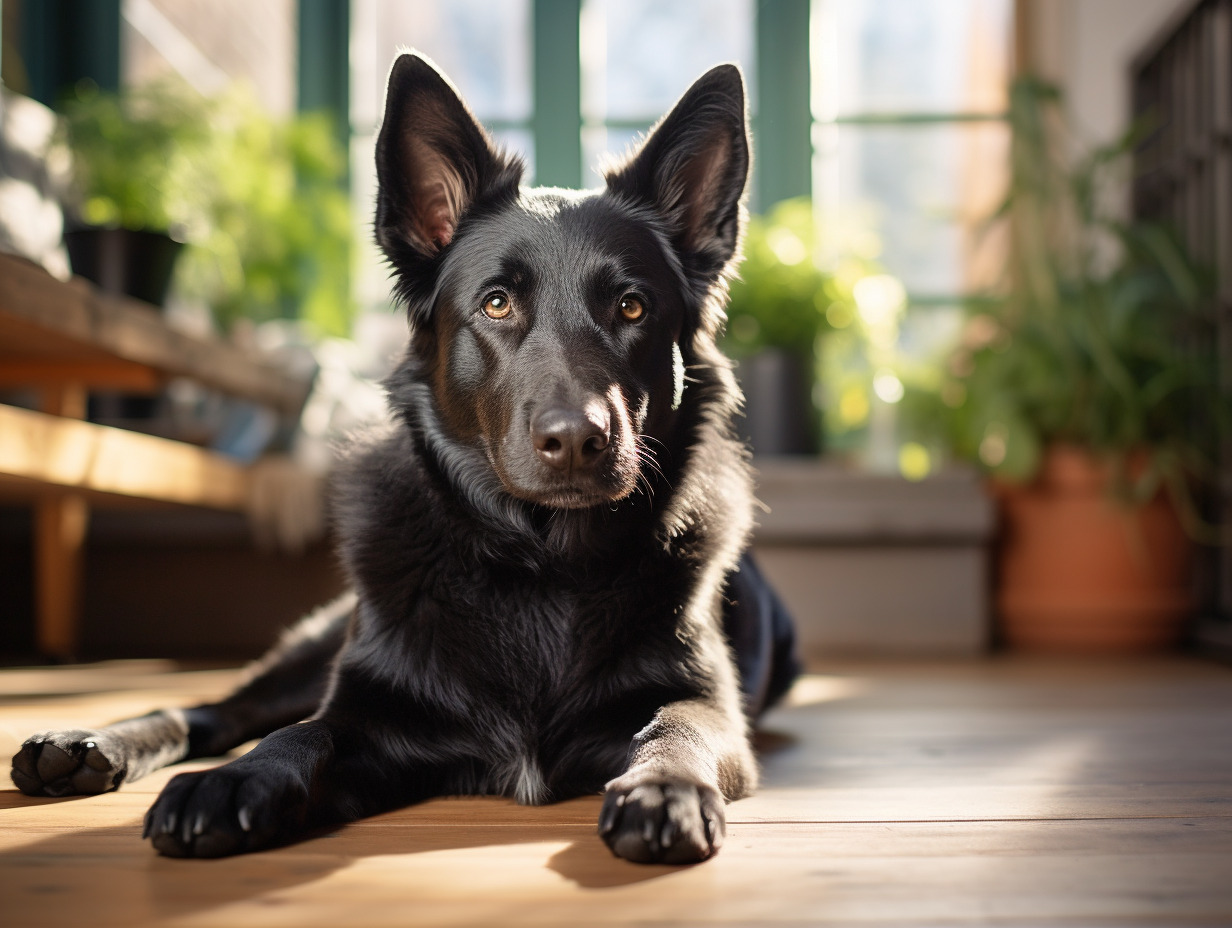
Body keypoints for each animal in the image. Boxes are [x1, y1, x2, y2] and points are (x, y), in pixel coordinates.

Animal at [9, 54, 798, 867]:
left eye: (632, 309)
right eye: (497, 304)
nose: (579, 440)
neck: (540, 566)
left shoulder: (705, 702)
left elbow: (675, 727)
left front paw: (665, 787)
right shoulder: (368, 708)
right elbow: (300, 734)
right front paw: (234, 781)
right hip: (319, 643)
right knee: (222, 709)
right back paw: (91, 743)